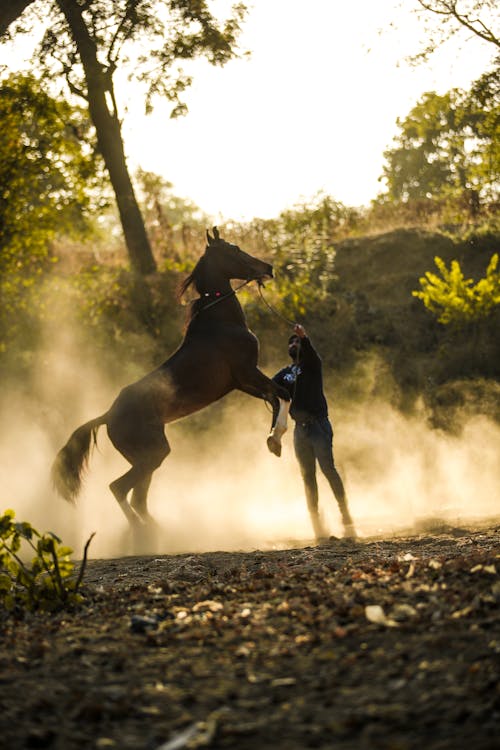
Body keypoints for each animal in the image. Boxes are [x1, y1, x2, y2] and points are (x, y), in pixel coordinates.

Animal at [50, 229, 290, 528]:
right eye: (233, 249)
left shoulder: (242, 382)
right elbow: (283, 394)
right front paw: (276, 436)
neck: (222, 324)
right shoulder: (247, 372)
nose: (267, 268)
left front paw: (273, 441)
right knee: (119, 489)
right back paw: (143, 532)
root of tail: (107, 415)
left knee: (137, 499)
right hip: (151, 455)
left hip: (149, 458)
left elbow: (275, 398)